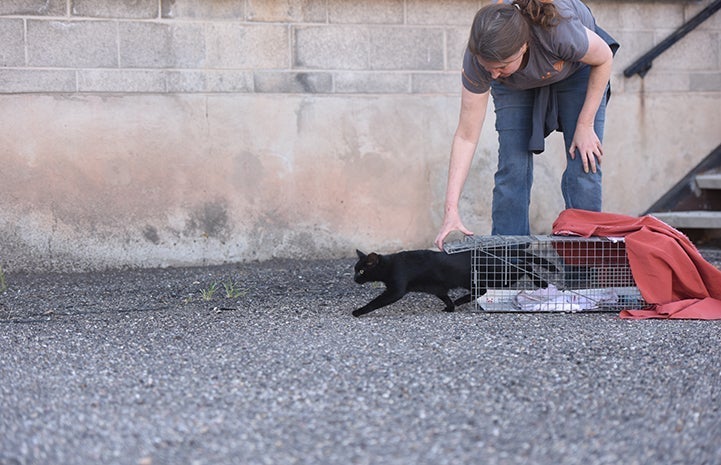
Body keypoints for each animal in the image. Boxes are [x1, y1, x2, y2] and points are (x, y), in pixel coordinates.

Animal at [348, 245, 556, 318]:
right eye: (355, 270)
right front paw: (450, 308)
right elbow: (444, 296)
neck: (391, 263)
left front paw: (358, 311)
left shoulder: (395, 289)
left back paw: (542, 282)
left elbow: (375, 302)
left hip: (498, 277)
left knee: (525, 264)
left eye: (362, 270)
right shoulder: (437, 288)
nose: (355, 279)